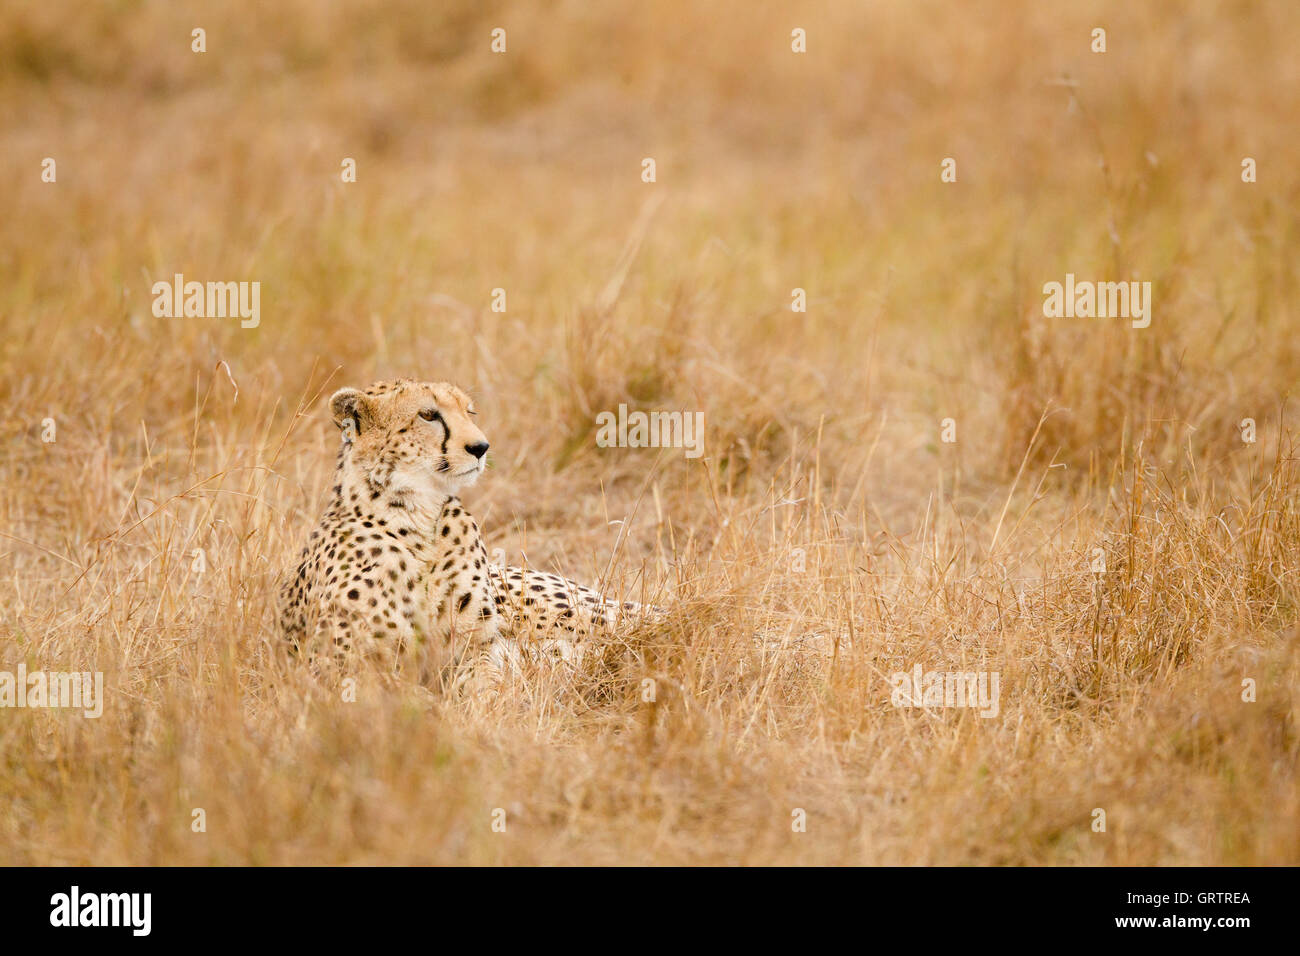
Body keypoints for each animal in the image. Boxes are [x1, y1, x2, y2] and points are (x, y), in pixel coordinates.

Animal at [278, 377, 655, 686]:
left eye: (469, 412)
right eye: (428, 415)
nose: (480, 447)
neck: (418, 516)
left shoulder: (477, 646)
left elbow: (483, 683)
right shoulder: (336, 663)